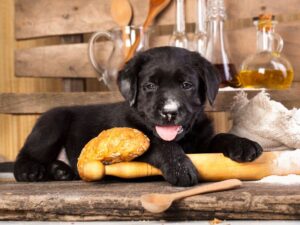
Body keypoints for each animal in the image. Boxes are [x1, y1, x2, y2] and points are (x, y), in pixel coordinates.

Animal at [14, 46, 262, 186]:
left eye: (187, 85)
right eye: (150, 86)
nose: (170, 112)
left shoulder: (202, 141)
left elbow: (219, 137)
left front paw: (242, 144)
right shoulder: (133, 140)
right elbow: (158, 144)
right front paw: (180, 167)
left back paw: (61, 170)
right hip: (52, 122)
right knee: (25, 156)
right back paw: (31, 171)